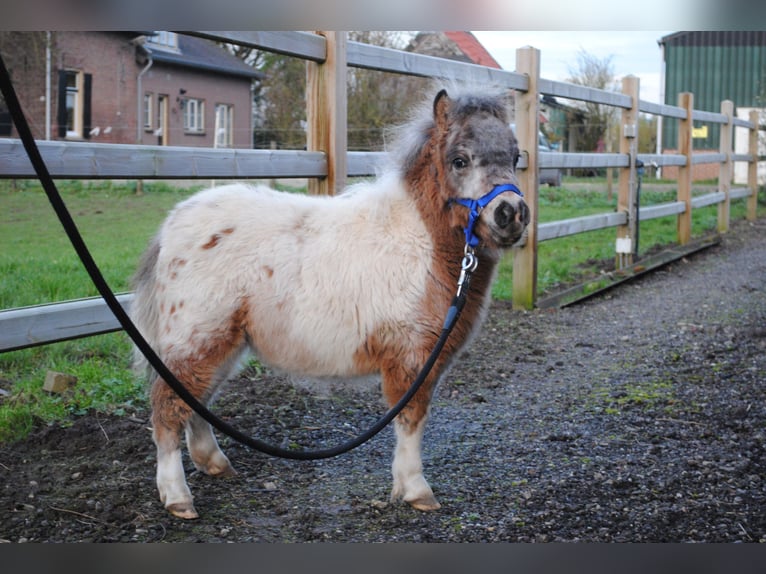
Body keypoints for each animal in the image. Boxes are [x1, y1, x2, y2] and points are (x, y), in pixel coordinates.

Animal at [130, 86, 528, 520]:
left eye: (516, 157)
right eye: (459, 159)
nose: (511, 214)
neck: (420, 243)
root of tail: (171, 226)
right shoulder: (409, 358)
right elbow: (411, 419)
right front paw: (416, 490)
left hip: (223, 343)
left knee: (195, 399)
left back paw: (214, 463)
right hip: (197, 338)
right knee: (168, 407)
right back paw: (177, 497)